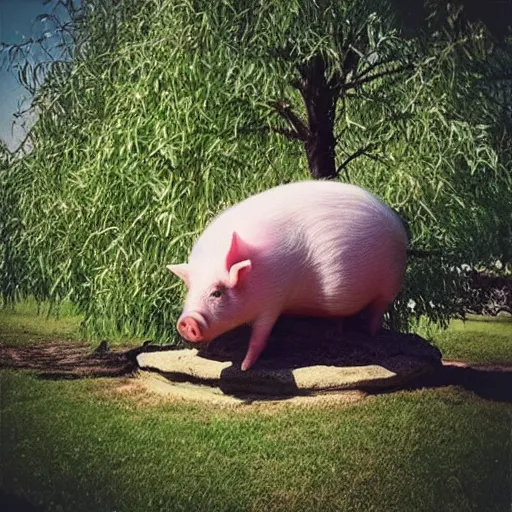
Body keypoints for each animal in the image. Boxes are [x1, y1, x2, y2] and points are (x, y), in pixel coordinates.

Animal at [168, 181, 408, 372]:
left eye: (217, 293)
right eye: (190, 291)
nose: (186, 322)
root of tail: (396, 222)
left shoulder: (274, 299)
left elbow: (260, 337)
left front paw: (245, 367)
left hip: (390, 283)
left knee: (377, 311)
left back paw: (371, 334)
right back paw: (336, 334)